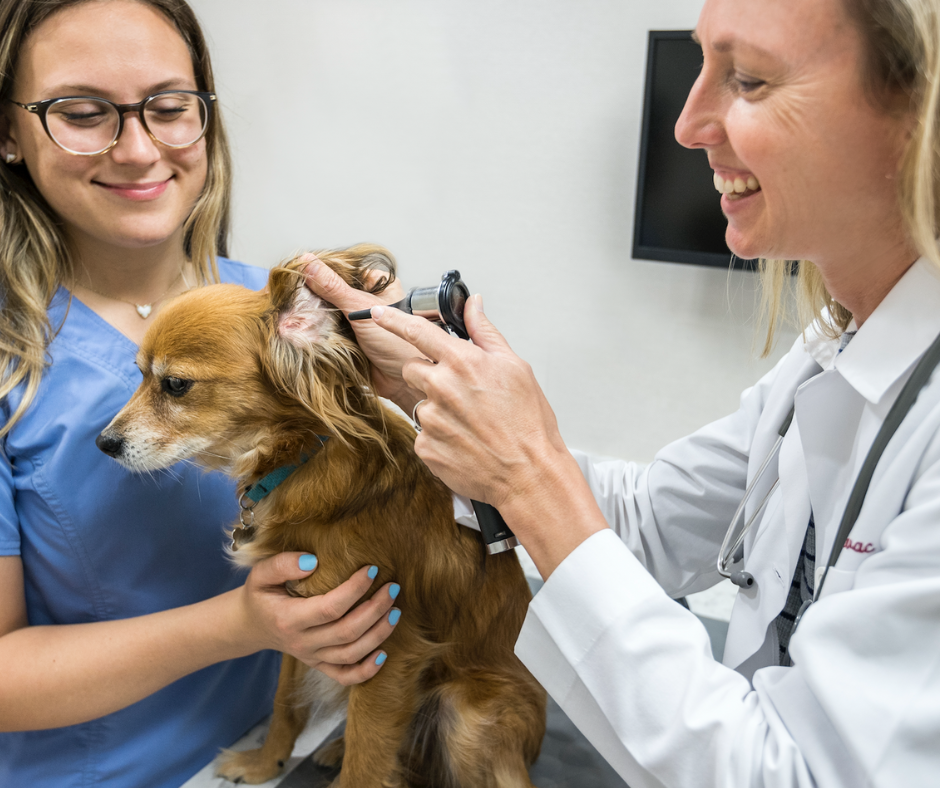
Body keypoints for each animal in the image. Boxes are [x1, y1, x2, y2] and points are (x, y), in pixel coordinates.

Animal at [95, 243, 548, 784]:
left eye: (176, 385)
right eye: (140, 375)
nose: (103, 443)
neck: (297, 459)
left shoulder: (392, 648)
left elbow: (367, 755)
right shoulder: (298, 618)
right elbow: (285, 702)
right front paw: (264, 762)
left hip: (469, 714)